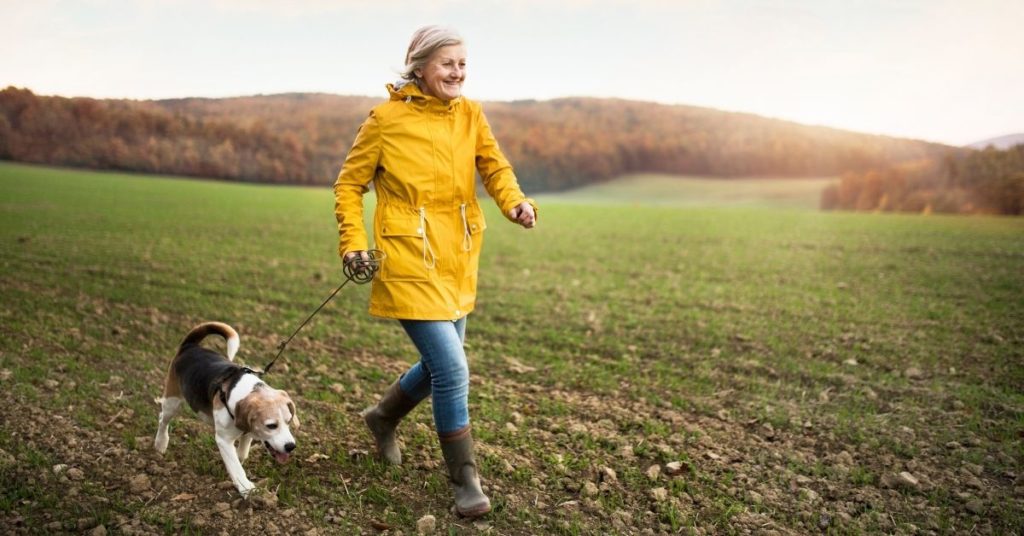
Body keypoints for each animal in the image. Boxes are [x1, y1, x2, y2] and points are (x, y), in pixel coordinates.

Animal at [151, 321, 299, 498]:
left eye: (289, 422)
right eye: (271, 426)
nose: (291, 446)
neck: (247, 391)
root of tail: (190, 346)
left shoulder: (247, 431)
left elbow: (241, 453)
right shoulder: (224, 440)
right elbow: (236, 466)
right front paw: (247, 488)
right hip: (172, 401)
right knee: (163, 419)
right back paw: (160, 444)